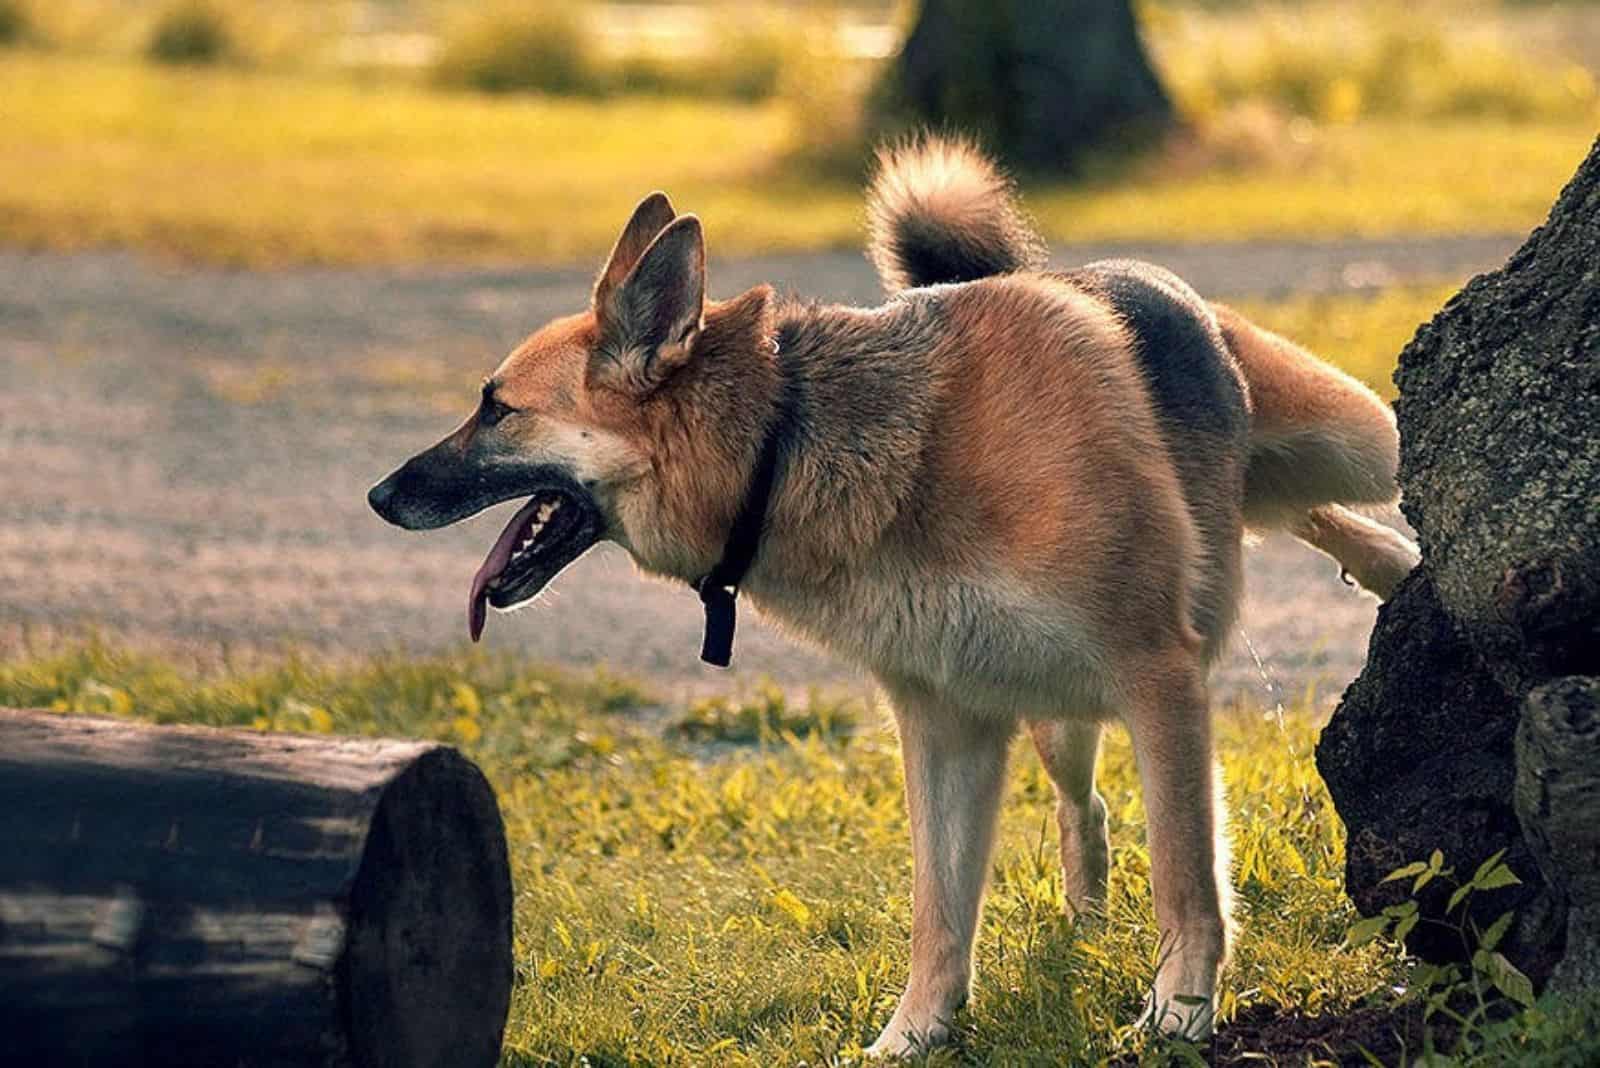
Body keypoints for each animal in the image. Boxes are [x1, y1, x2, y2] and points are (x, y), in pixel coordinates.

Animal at [368, 137, 1420, 1055]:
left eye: (497, 409)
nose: (379, 496)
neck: (791, 439)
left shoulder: (1160, 679)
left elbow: (1186, 876)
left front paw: (1179, 1014)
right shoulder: (948, 722)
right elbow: (940, 914)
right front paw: (914, 1037)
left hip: (1345, 439)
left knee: (1335, 487)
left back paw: (1397, 556)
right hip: (1055, 710)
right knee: (1086, 807)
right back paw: (1085, 919)